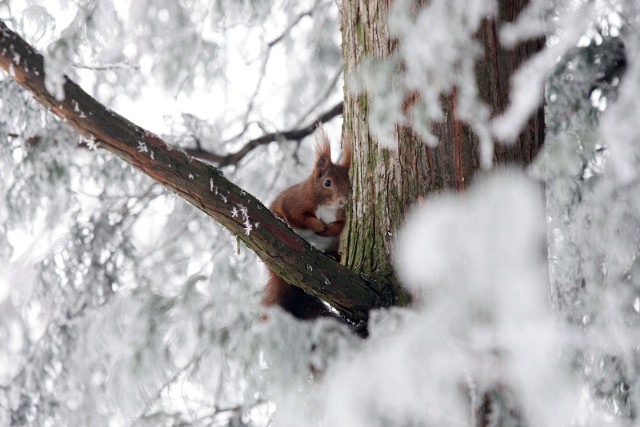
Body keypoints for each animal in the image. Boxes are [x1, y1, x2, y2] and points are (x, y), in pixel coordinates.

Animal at [264, 128, 356, 320]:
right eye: (327, 182)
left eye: (350, 184)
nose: (343, 200)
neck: (327, 206)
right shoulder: (295, 202)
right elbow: (301, 217)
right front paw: (319, 226)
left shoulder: (341, 215)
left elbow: (339, 226)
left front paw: (327, 229)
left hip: (331, 244)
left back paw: (333, 256)